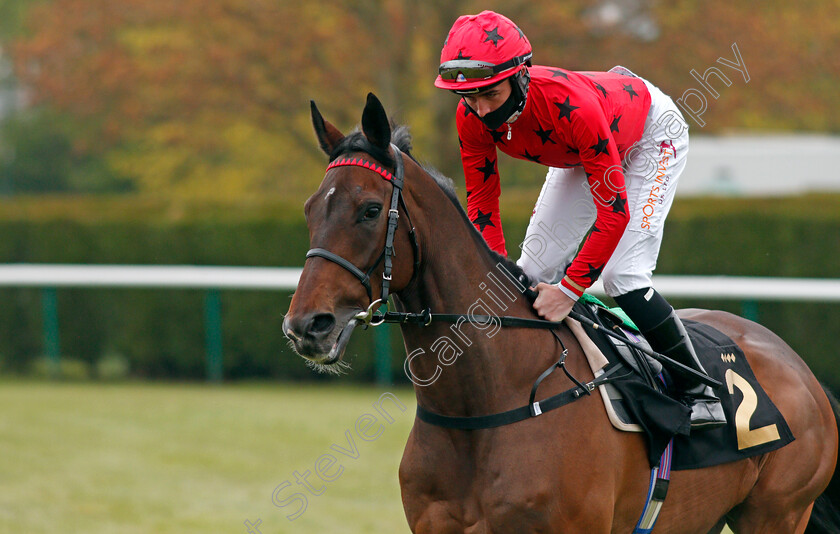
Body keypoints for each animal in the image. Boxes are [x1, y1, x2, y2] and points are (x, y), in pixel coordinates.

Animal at [284, 94, 840, 532]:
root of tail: (800, 367)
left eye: (370, 210)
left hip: (777, 514)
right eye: (310, 208)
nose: (307, 326)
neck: (483, 405)